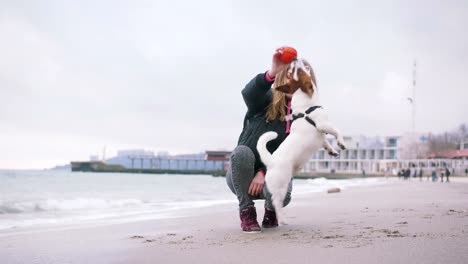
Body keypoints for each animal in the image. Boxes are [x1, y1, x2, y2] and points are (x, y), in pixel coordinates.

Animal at [258, 58, 346, 225]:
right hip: (281, 186)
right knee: (276, 203)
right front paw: (341, 143)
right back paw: (282, 219)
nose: (294, 59)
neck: (306, 108)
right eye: (297, 71)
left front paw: (332, 150)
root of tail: (270, 161)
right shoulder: (323, 125)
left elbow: (325, 142)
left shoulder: (321, 135)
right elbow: (337, 131)